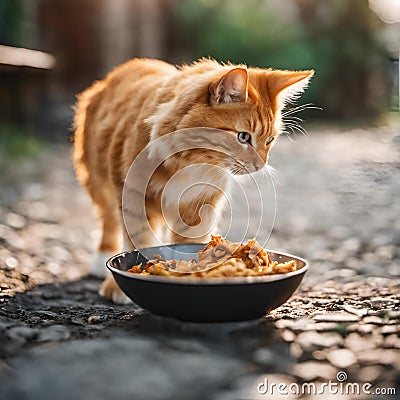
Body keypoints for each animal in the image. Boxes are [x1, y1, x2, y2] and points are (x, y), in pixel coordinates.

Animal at [73, 57, 314, 302]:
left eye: (270, 140)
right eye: (243, 137)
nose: (260, 165)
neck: (192, 161)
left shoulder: (197, 207)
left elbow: (188, 246)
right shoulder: (132, 196)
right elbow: (137, 241)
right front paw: (120, 286)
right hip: (97, 181)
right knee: (108, 220)